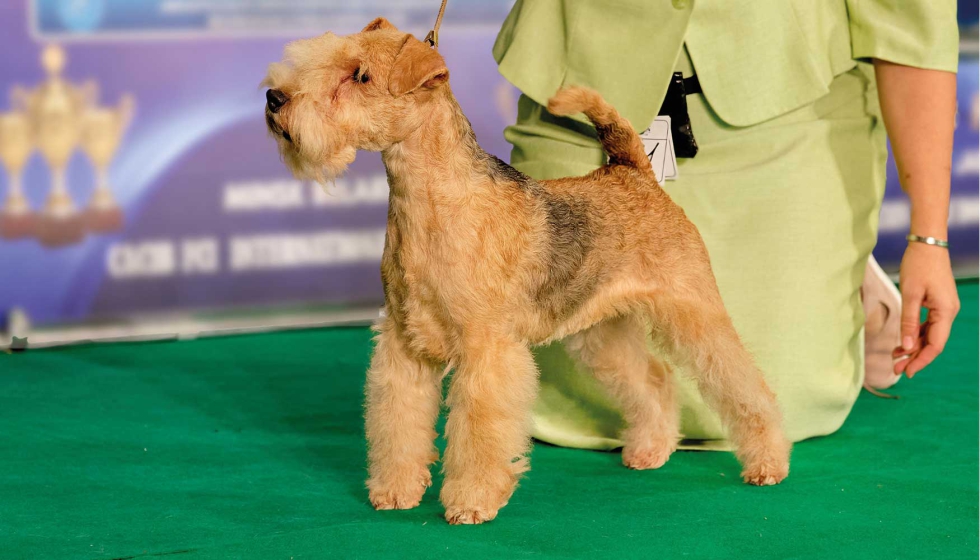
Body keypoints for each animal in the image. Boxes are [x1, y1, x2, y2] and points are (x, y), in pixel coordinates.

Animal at [264, 17, 792, 524]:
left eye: (360, 76)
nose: (274, 98)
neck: (429, 202)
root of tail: (633, 171)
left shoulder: (486, 348)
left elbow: (478, 431)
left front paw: (472, 502)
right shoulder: (403, 341)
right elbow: (399, 422)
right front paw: (395, 491)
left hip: (693, 309)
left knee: (743, 382)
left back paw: (768, 463)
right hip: (602, 332)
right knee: (655, 379)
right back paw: (650, 450)